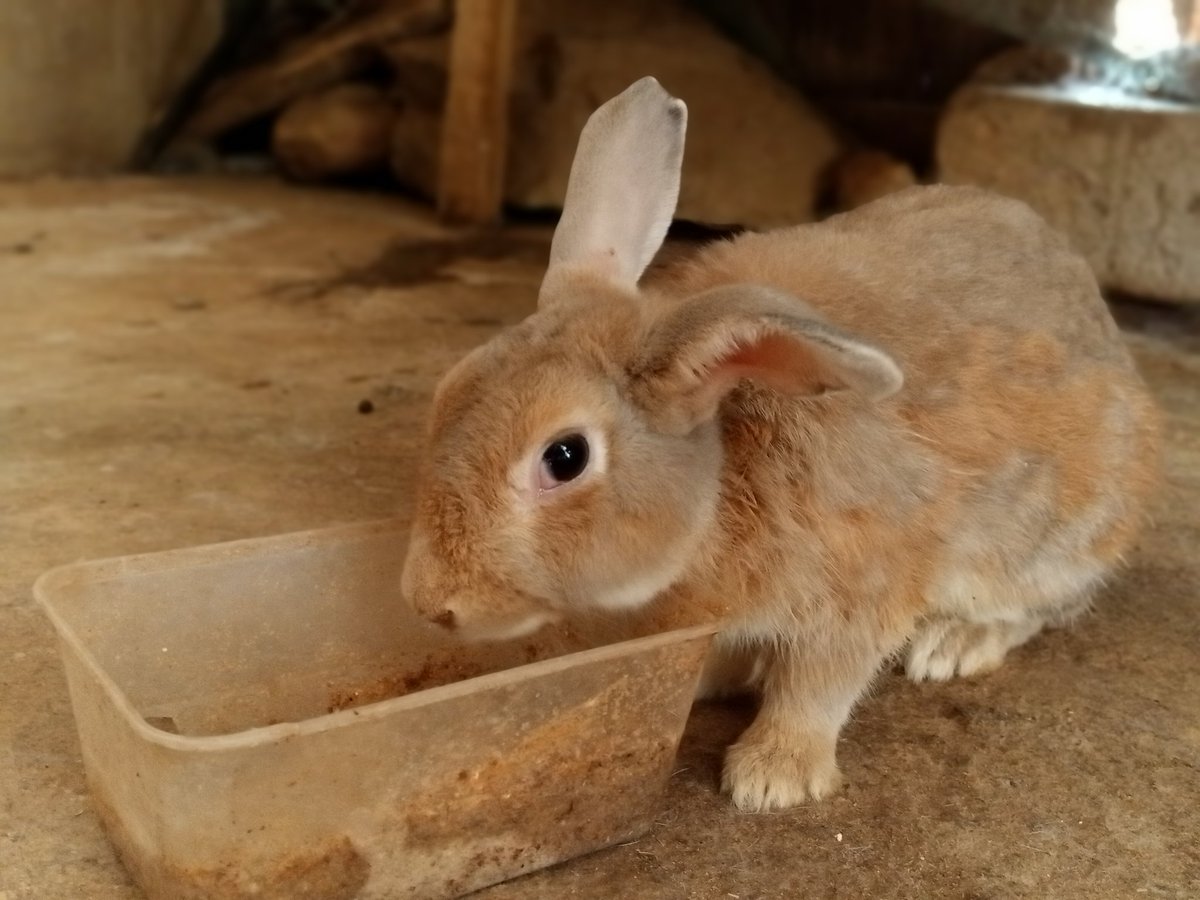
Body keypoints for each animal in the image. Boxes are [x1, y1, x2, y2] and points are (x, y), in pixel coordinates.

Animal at [400, 77, 1162, 812]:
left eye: (565, 457)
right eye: (447, 392)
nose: (430, 602)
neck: (717, 479)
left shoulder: (860, 591)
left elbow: (817, 687)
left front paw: (772, 779)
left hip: (1052, 545)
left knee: (1041, 609)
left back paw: (954, 644)